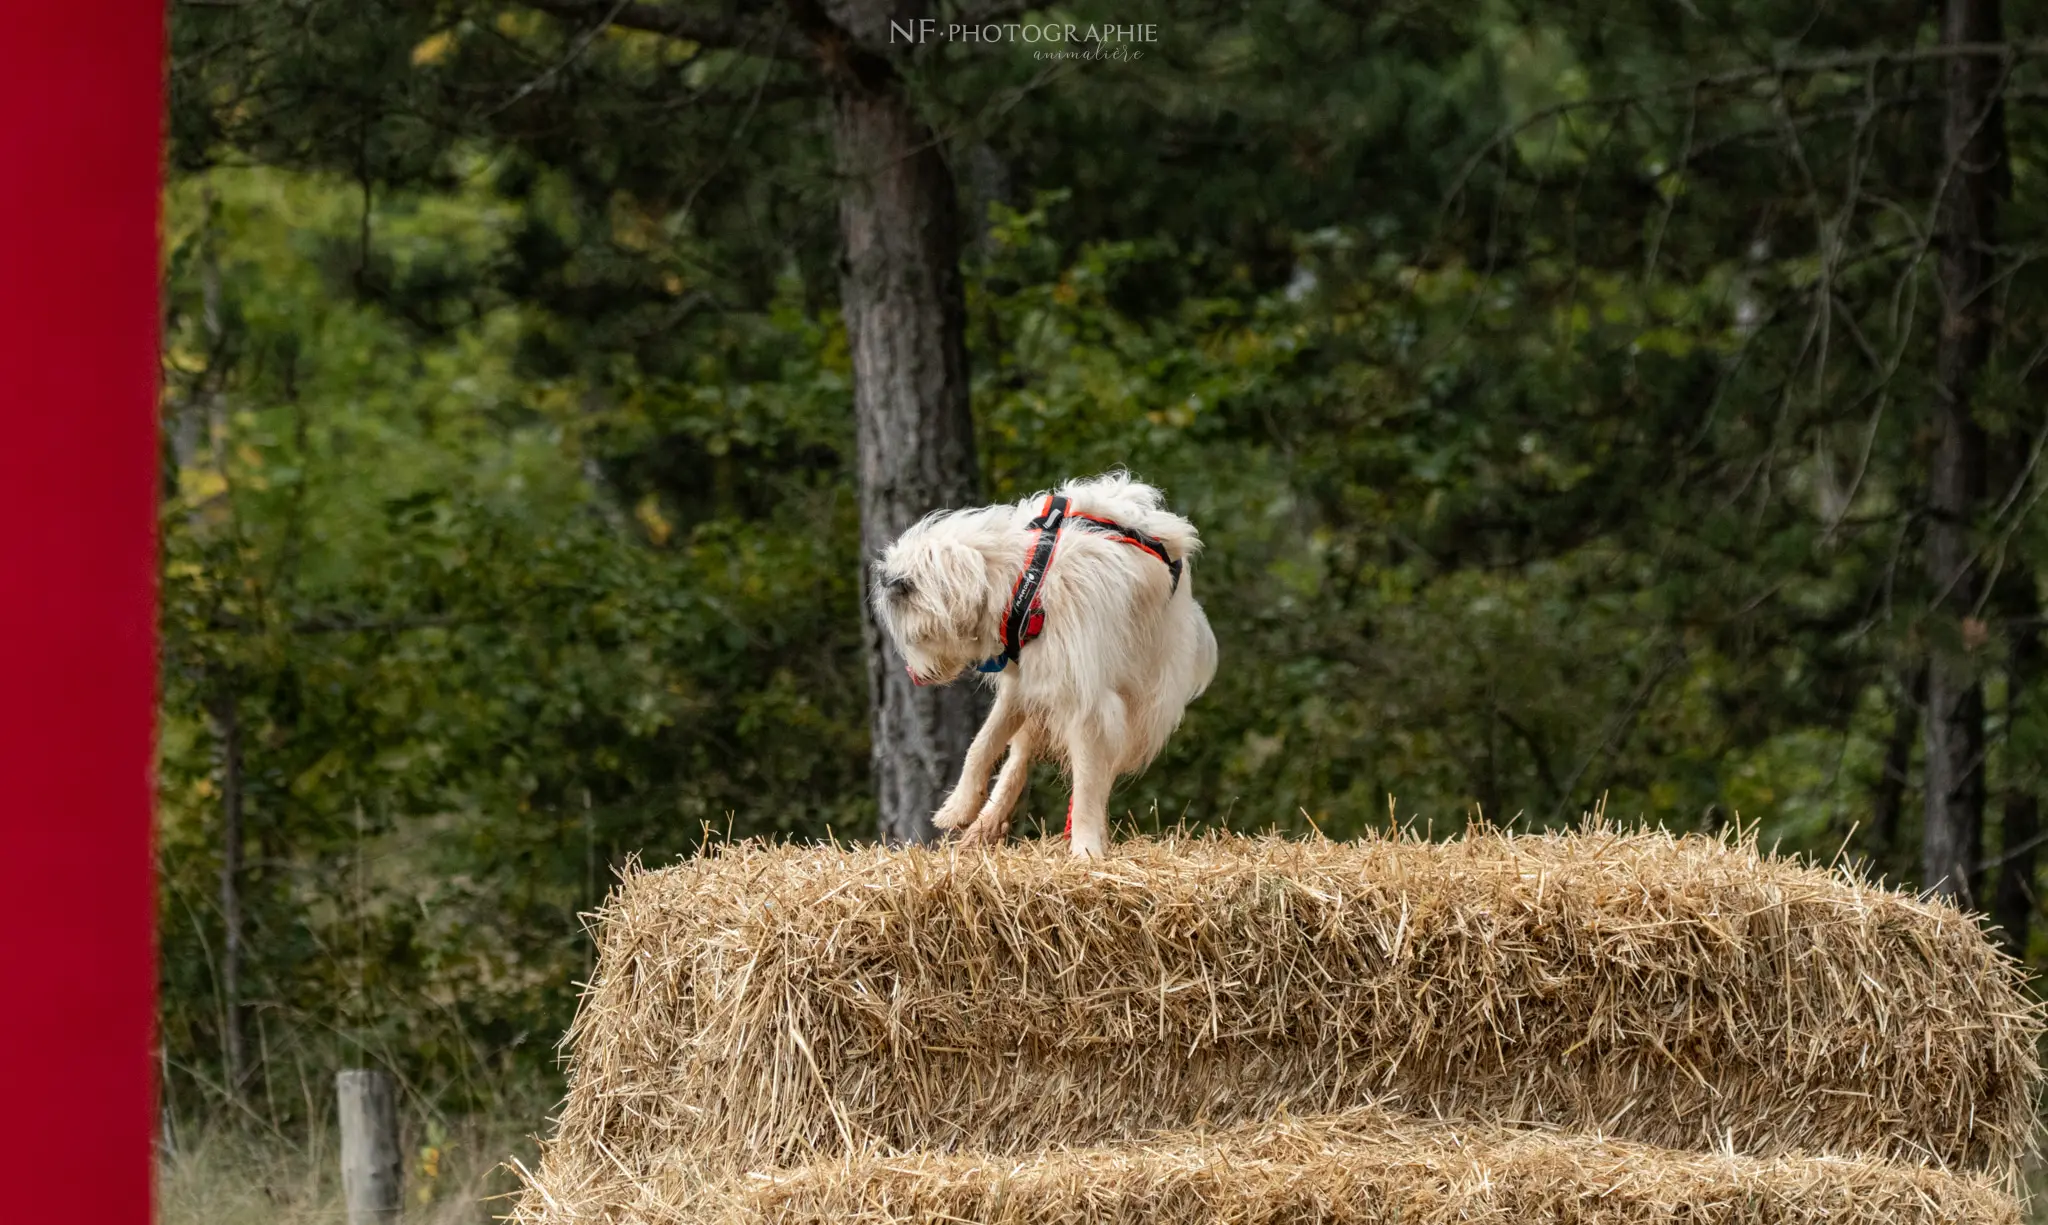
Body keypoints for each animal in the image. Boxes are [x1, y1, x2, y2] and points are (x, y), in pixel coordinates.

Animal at [868, 475, 1212, 860]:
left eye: (909, 638)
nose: (915, 676)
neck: (1025, 581)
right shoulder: (1022, 682)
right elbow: (982, 744)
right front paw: (958, 807)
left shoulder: (1087, 702)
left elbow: (1088, 781)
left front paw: (1086, 849)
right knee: (1018, 756)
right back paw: (984, 825)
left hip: (1139, 697)